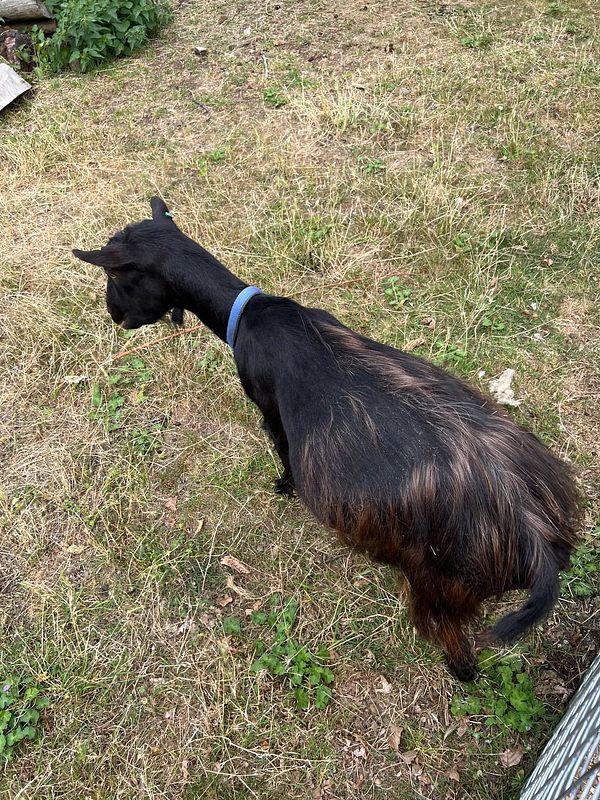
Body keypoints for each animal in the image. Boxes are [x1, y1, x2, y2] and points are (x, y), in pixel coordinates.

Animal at [73, 197, 581, 680]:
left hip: (439, 585)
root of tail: (531, 531)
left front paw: (284, 487)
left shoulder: (272, 412)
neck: (249, 314)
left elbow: (282, 452)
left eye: (115, 275)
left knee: (453, 640)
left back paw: (460, 670)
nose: (114, 315)